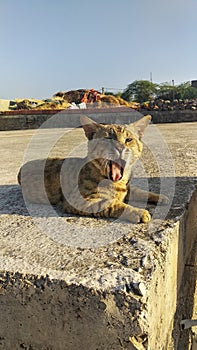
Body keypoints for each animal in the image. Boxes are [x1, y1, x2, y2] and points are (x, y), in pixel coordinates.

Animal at [17, 115, 169, 224]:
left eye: (128, 140)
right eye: (108, 139)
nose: (120, 147)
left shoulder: (128, 189)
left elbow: (140, 191)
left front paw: (159, 197)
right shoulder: (79, 200)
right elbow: (112, 204)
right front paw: (137, 211)